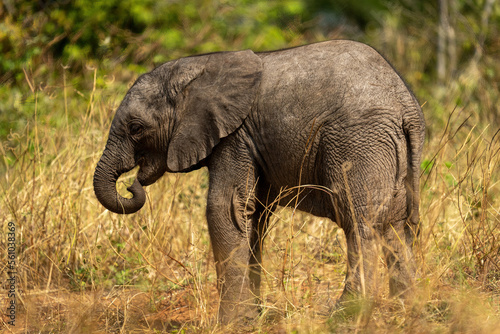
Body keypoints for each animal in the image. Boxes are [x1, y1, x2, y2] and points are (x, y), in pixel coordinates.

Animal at [93, 39, 422, 324]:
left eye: (136, 128)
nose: (132, 184)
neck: (197, 67)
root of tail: (406, 106)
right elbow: (253, 216)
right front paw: (253, 317)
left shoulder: (235, 136)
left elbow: (222, 210)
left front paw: (229, 323)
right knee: (395, 227)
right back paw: (402, 310)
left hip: (358, 141)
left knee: (359, 222)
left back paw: (344, 316)